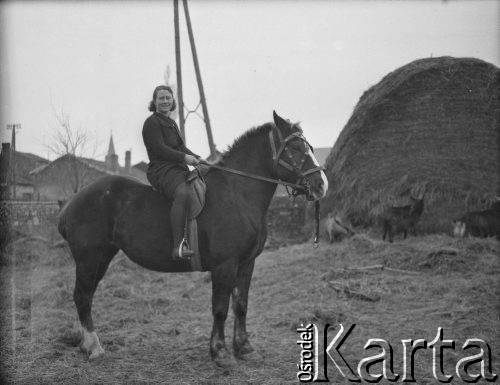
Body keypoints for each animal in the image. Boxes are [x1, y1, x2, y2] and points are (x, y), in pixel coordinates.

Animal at [58, 111, 328, 366]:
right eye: (296, 148)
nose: (321, 185)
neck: (237, 194)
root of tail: (73, 201)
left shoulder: (246, 263)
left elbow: (241, 305)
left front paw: (245, 348)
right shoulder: (225, 265)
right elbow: (220, 308)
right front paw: (220, 353)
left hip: (101, 258)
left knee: (85, 296)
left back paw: (86, 345)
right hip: (89, 259)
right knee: (82, 297)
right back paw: (94, 347)